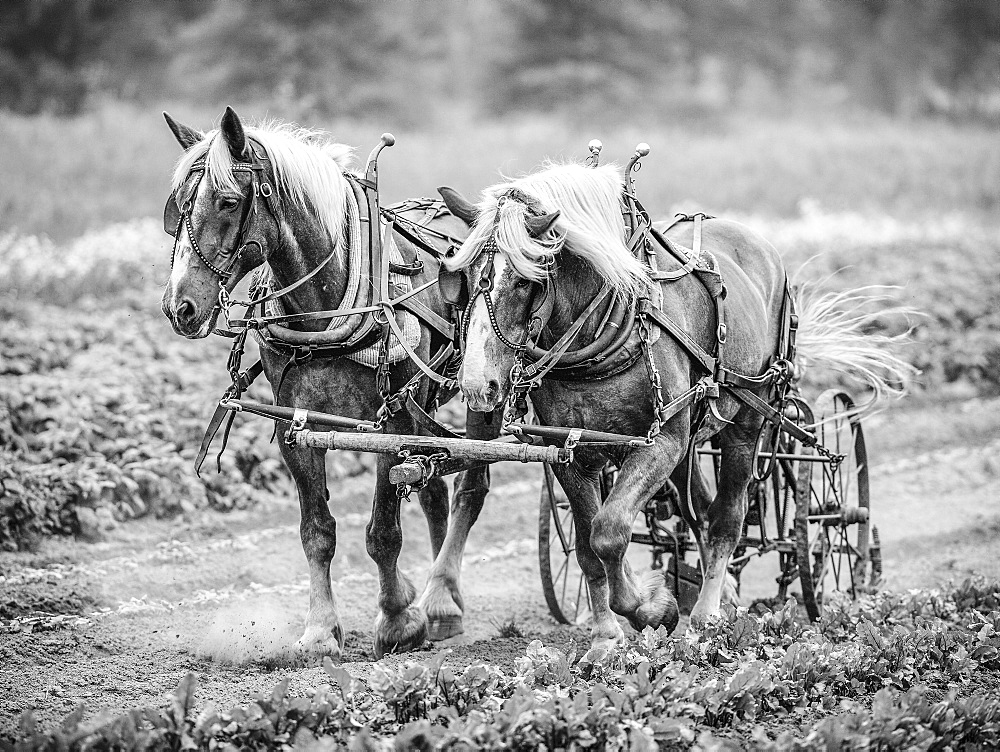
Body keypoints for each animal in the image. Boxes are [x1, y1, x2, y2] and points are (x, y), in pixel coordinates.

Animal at [158, 107, 494, 656]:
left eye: (227, 200)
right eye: (176, 206)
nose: (178, 307)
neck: (330, 308)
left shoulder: (391, 424)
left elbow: (383, 534)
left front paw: (397, 621)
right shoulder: (295, 425)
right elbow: (317, 531)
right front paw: (320, 630)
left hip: (480, 394)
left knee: (471, 484)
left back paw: (441, 599)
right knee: (434, 490)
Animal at [442, 163, 912, 652]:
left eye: (523, 279)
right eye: (460, 275)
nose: (477, 386)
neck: (608, 330)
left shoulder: (661, 442)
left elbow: (610, 532)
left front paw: (653, 607)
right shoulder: (570, 452)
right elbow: (589, 544)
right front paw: (606, 635)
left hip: (747, 419)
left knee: (727, 518)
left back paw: (708, 615)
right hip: (689, 441)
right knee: (700, 513)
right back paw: (724, 594)